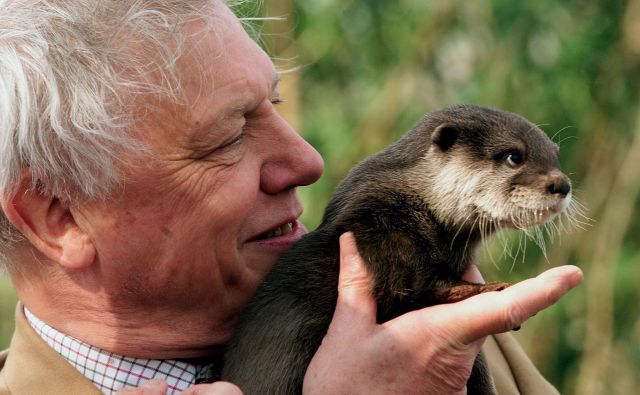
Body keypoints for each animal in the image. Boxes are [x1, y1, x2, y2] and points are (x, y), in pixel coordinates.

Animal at [222, 103, 572, 394]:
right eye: (514, 156)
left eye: (554, 156)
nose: (563, 184)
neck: (413, 200)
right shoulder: (379, 228)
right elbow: (416, 288)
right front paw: (488, 289)